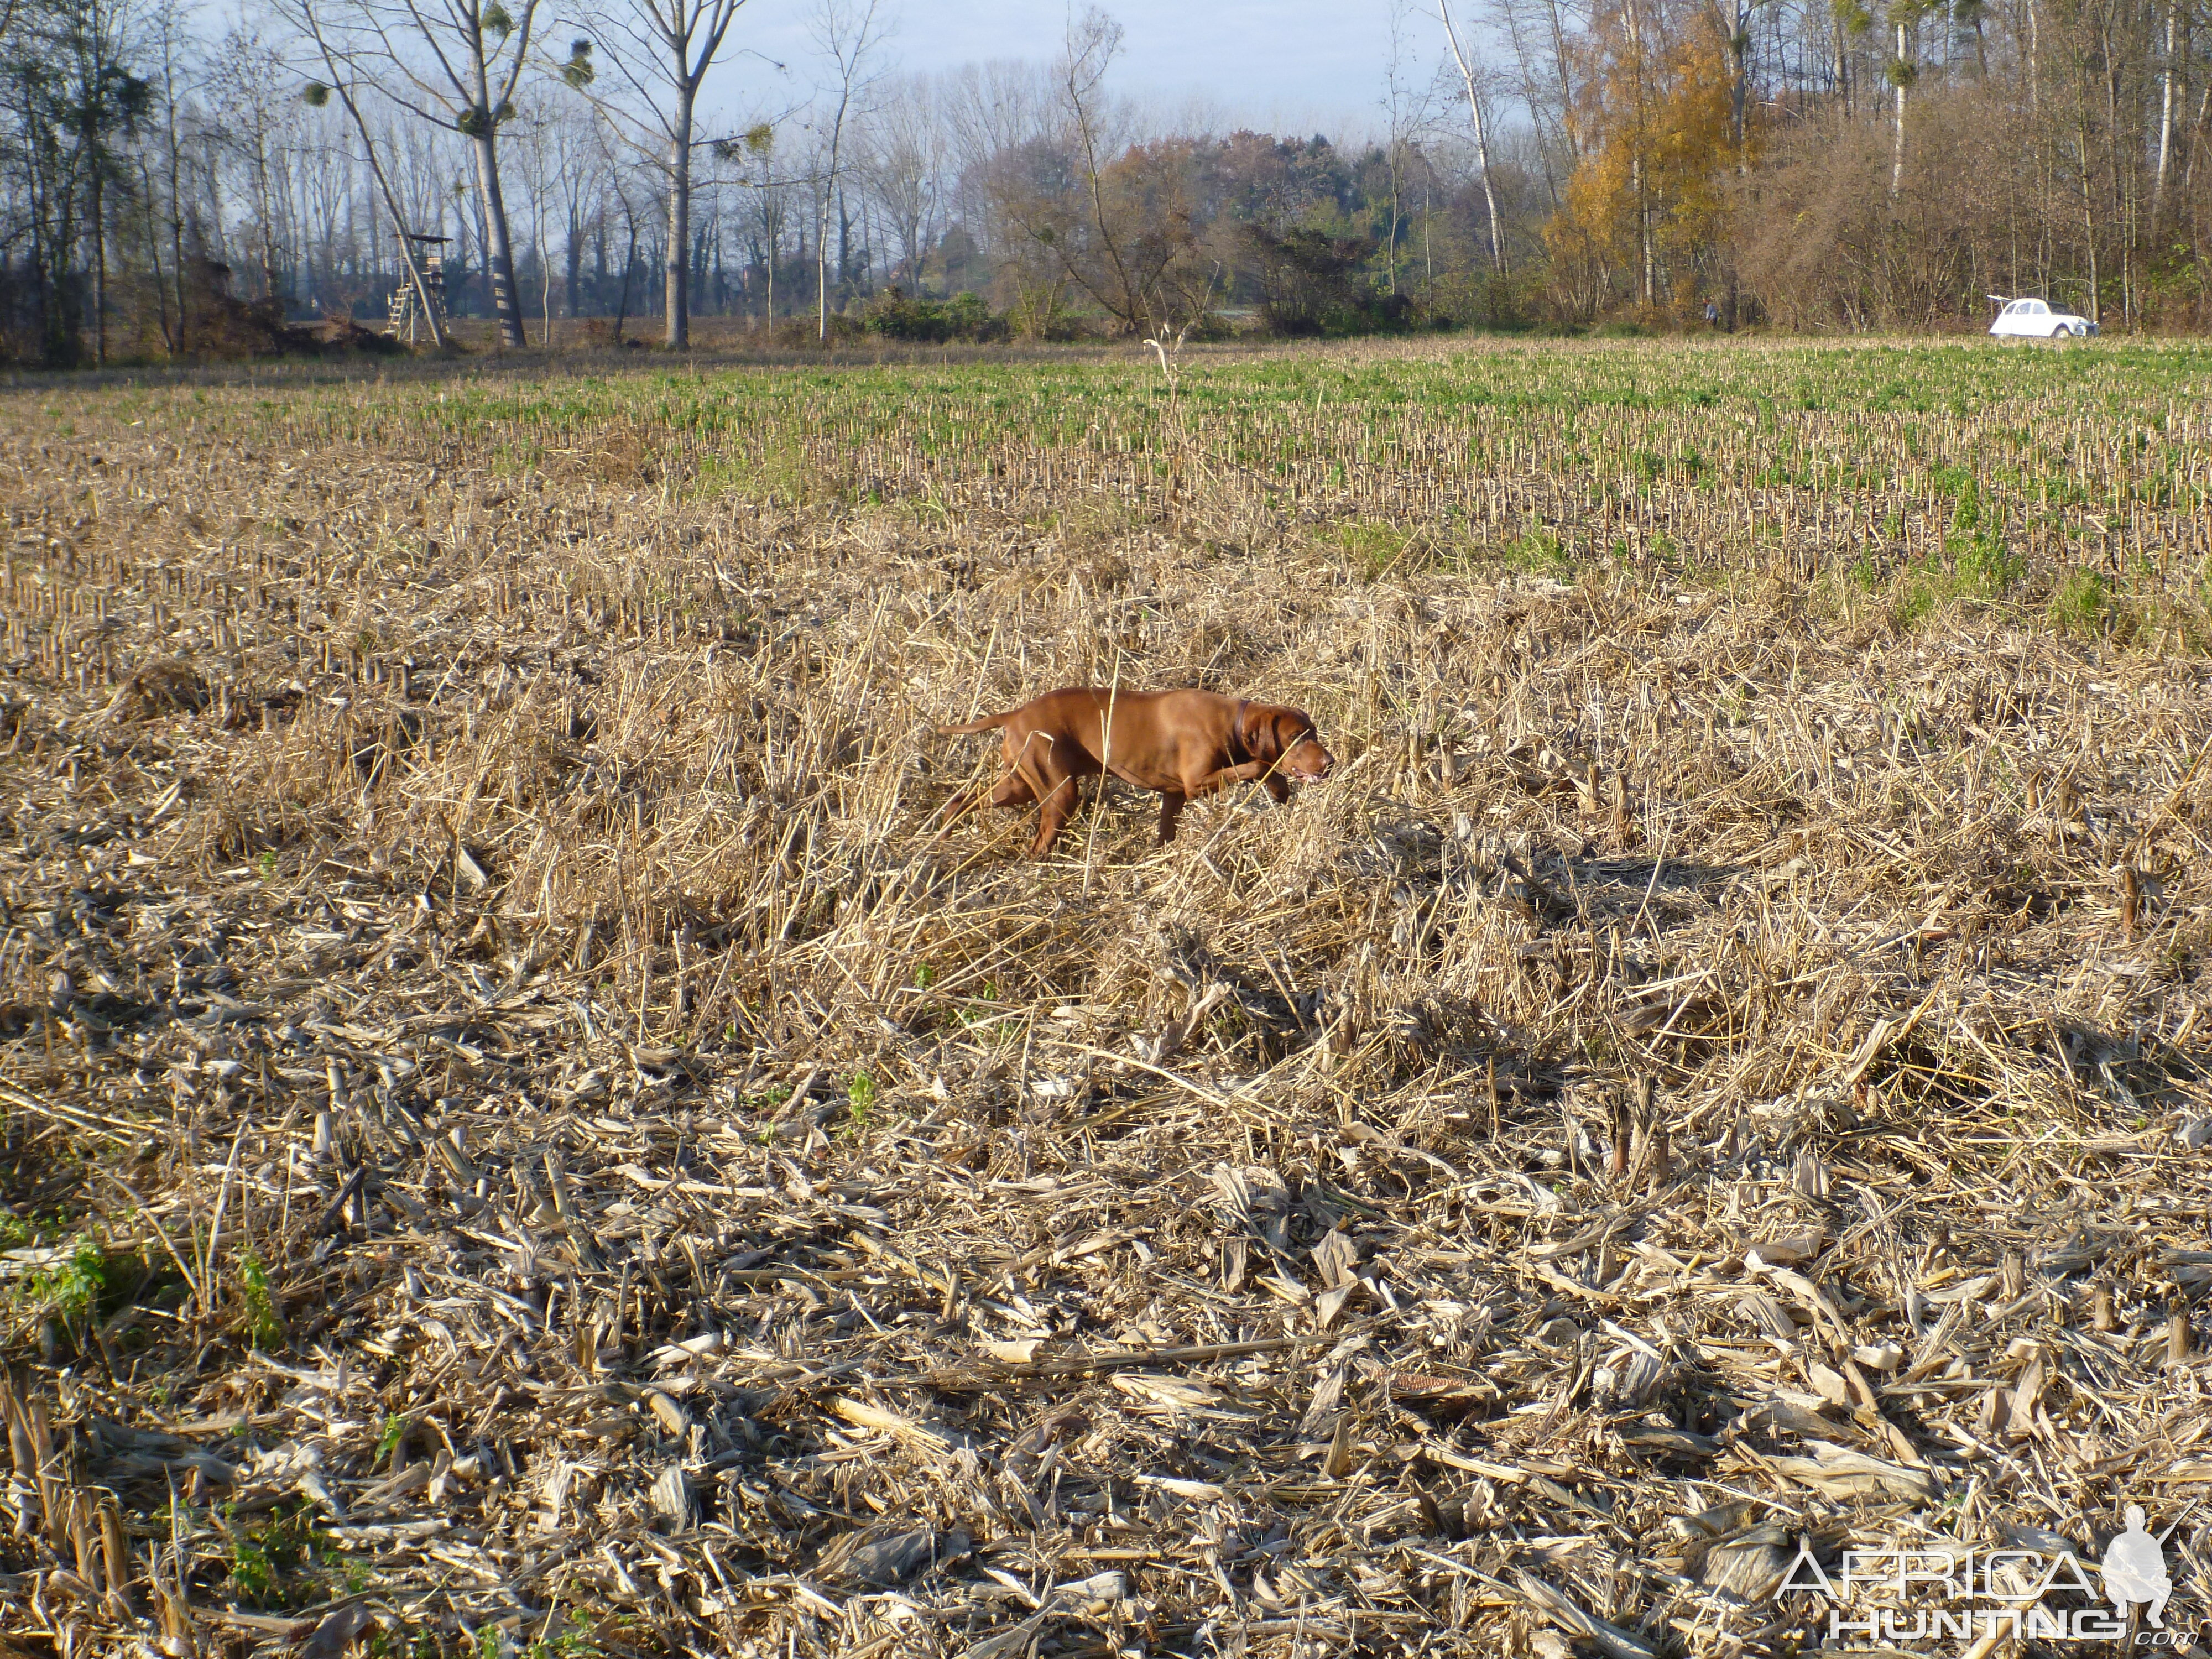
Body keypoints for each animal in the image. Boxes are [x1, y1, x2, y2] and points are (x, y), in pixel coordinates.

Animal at [933, 686, 1327, 858]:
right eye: (1296, 737)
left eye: (1315, 732)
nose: (1330, 763)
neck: (1233, 721)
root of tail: (1015, 714)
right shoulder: (1196, 783)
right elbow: (1259, 764)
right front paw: (1278, 787)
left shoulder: (1175, 795)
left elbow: (1166, 832)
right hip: (1059, 792)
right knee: (1038, 842)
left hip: (1023, 783)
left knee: (964, 799)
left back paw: (944, 834)